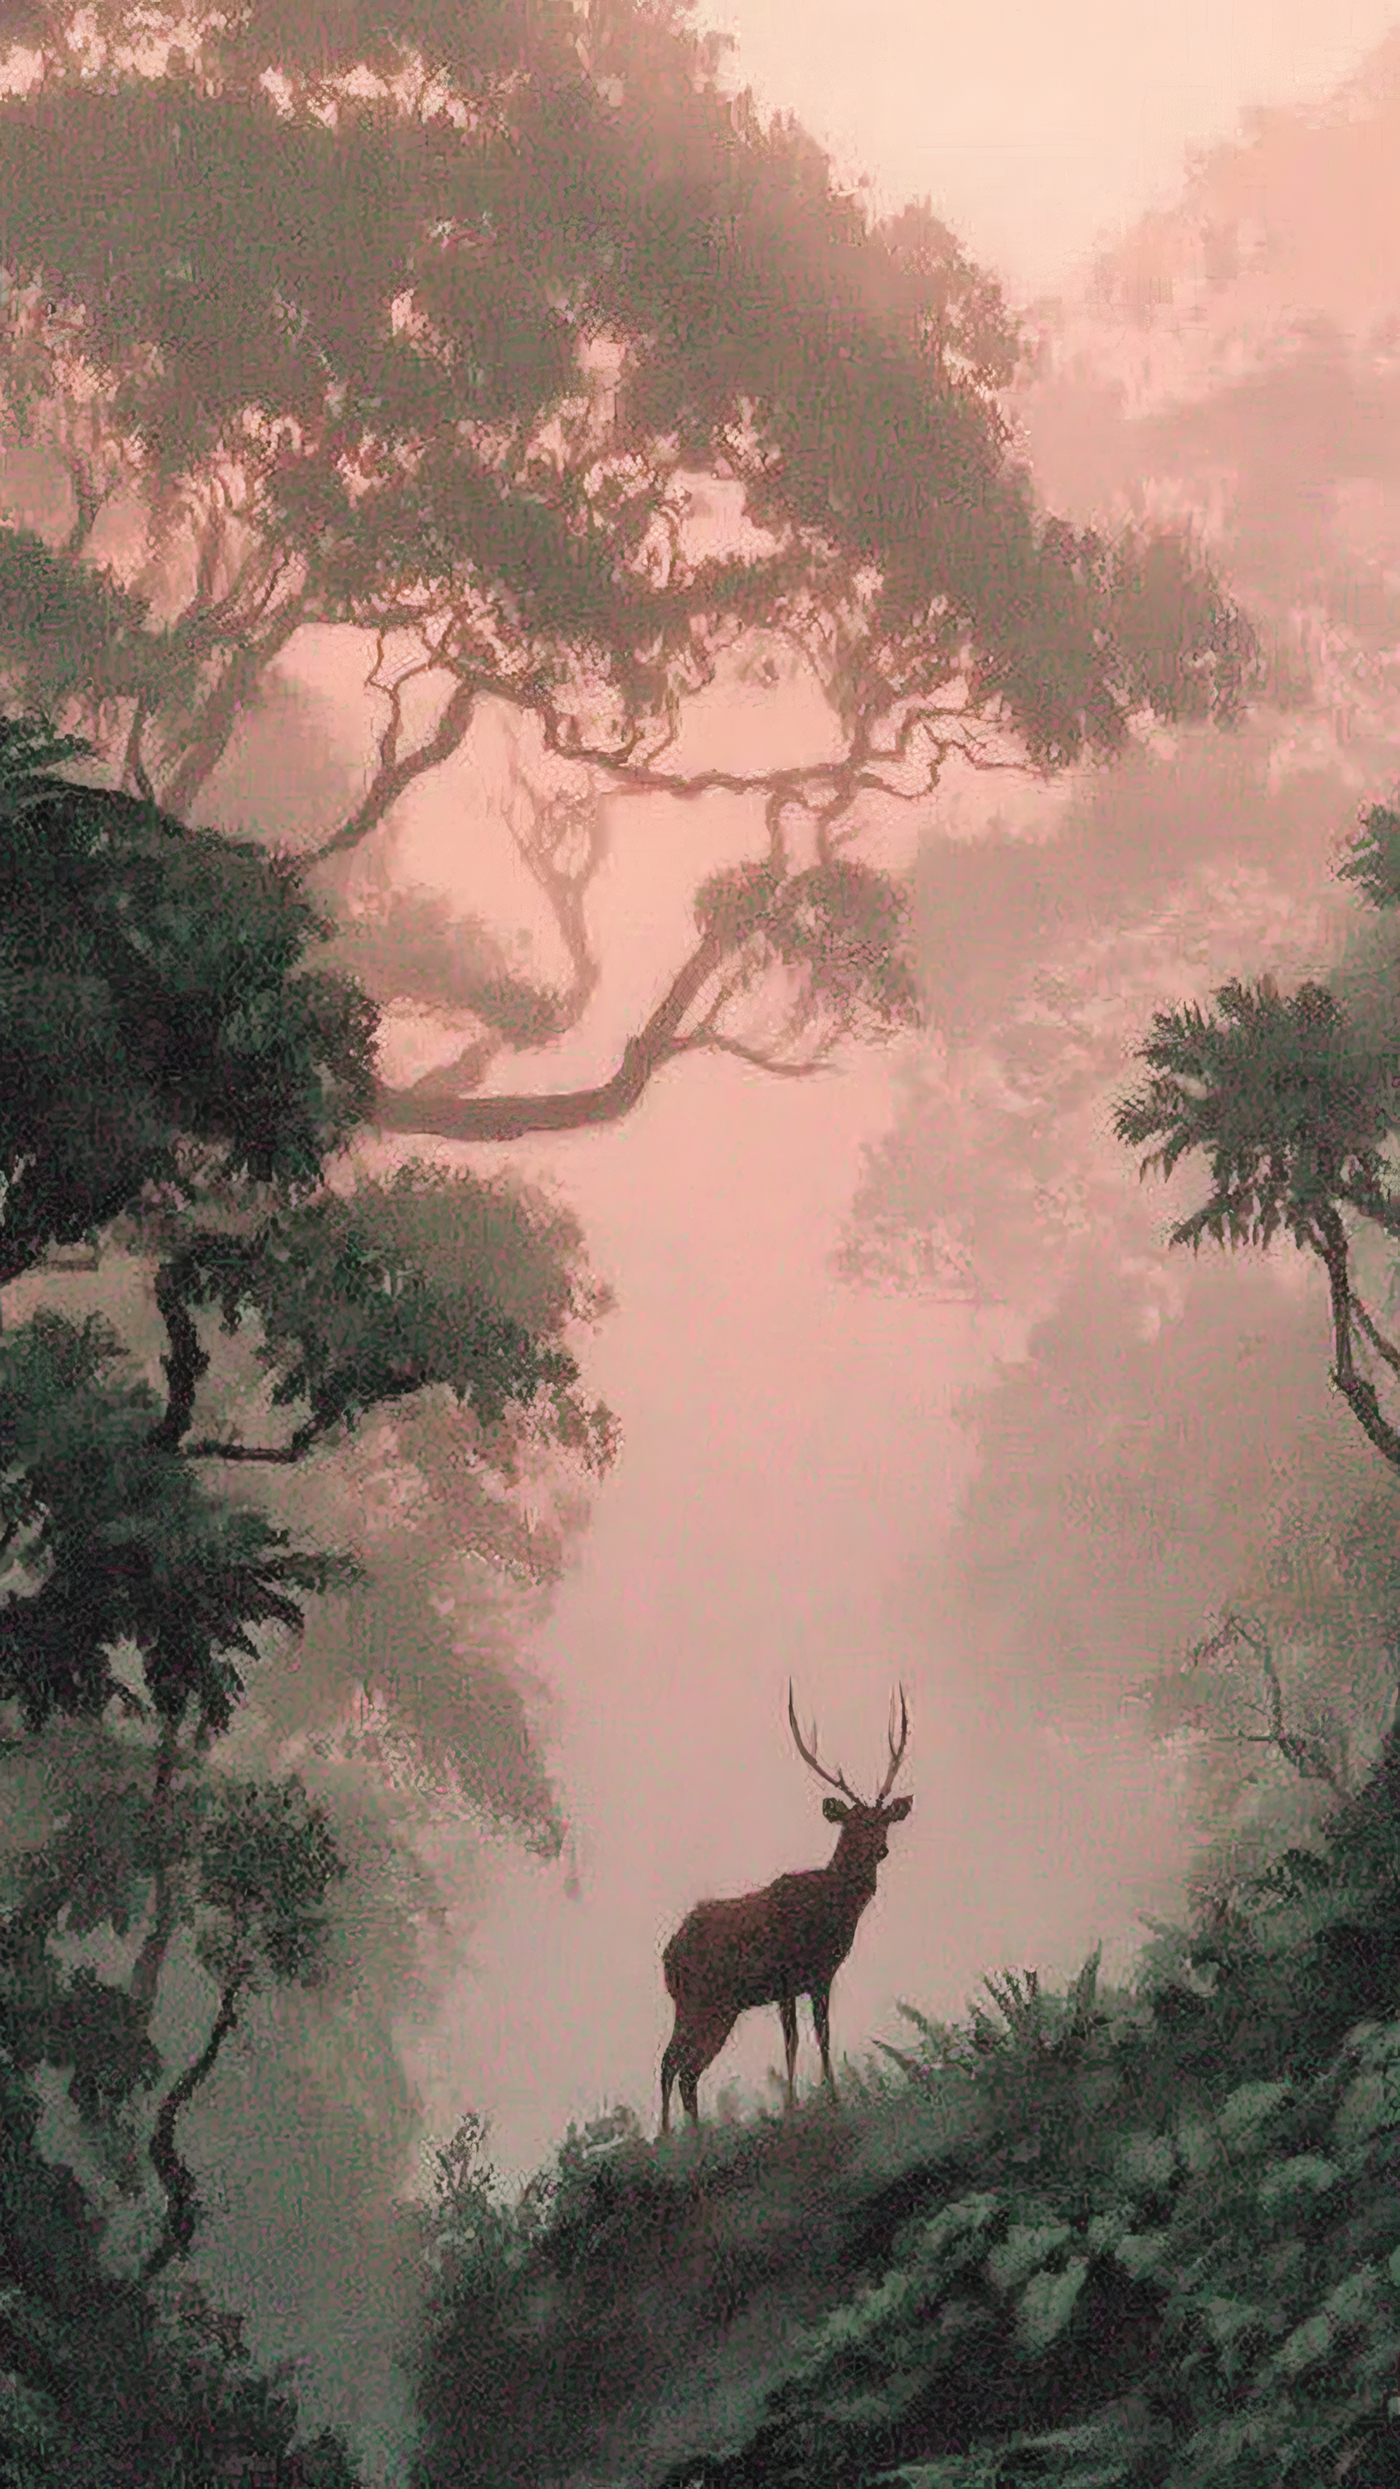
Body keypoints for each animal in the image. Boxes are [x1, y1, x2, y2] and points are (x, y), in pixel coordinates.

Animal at [659, 1681, 912, 2133]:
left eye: (883, 1822)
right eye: (854, 1824)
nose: (880, 1850)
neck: (829, 1914)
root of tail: (667, 1955)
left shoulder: (808, 1979)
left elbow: (810, 2039)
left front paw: (810, 2101)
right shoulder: (795, 1973)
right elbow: (803, 2040)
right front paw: (817, 2104)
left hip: (710, 2007)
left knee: (679, 2067)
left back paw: (685, 2136)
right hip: (703, 2000)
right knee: (676, 2065)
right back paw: (677, 2136)